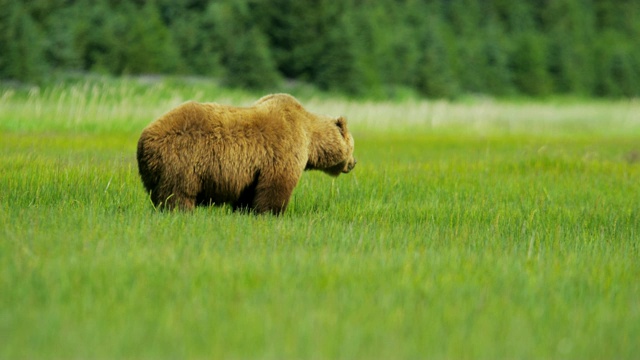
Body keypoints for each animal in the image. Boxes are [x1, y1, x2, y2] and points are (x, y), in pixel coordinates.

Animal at [136, 94, 356, 215]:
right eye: (353, 146)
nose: (354, 162)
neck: (310, 137)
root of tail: (144, 138)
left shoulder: (251, 172)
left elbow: (249, 194)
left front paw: (245, 211)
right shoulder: (282, 151)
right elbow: (276, 187)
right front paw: (272, 213)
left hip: (156, 170)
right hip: (181, 161)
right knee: (178, 194)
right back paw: (181, 212)